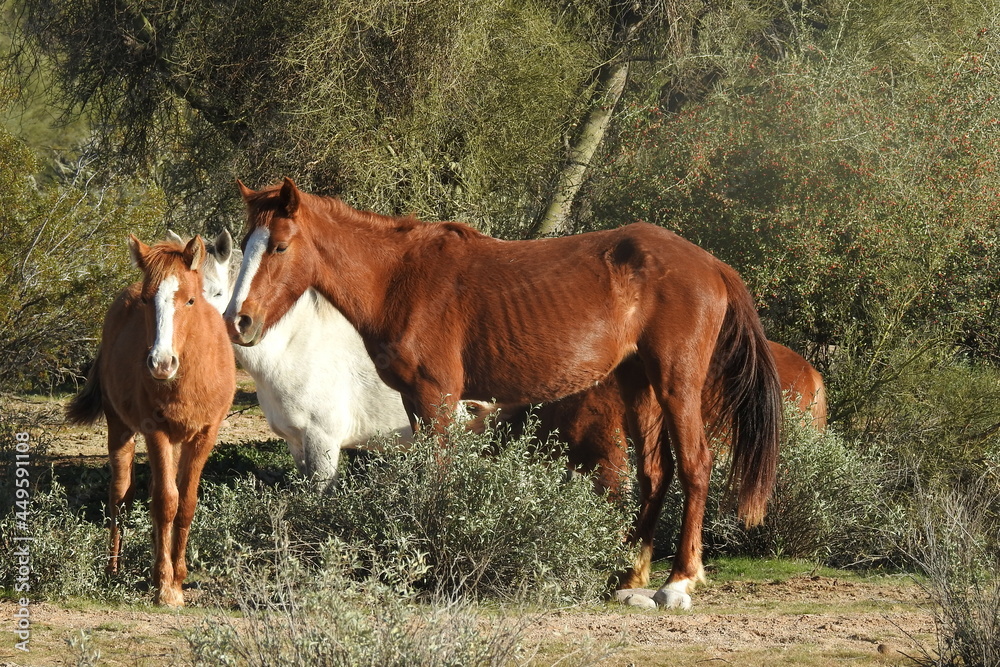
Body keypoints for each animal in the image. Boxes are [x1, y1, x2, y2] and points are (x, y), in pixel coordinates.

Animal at [66, 235, 235, 607]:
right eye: (146, 299)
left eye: (190, 299)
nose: (160, 363)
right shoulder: (156, 431)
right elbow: (165, 502)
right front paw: (164, 586)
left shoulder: (204, 435)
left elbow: (185, 503)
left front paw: (178, 577)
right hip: (121, 429)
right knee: (121, 495)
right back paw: (113, 568)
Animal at [225, 178, 782, 609]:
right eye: (244, 245)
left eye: (279, 245)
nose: (238, 321)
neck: (402, 279)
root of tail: (712, 265)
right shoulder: (415, 401)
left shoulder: (437, 397)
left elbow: (440, 476)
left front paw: (437, 561)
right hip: (638, 385)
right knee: (655, 473)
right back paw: (630, 577)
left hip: (675, 384)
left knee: (695, 466)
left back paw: (678, 581)